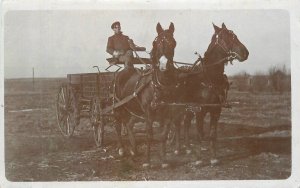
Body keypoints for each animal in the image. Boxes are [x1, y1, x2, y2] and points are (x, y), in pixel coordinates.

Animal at [112, 21, 178, 167]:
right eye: (156, 42)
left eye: (173, 42)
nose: (164, 65)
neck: (160, 85)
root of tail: (123, 71)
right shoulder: (148, 112)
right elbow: (149, 135)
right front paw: (147, 161)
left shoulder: (169, 111)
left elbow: (163, 135)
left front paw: (163, 160)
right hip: (118, 107)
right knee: (118, 127)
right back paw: (121, 149)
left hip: (134, 109)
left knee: (129, 125)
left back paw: (134, 150)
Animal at [175, 22, 250, 165]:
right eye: (225, 37)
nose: (245, 53)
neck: (209, 77)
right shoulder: (199, 111)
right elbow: (200, 134)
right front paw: (199, 159)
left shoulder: (216, 111)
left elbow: (212, 134)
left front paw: (214, 158)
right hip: (177, 109)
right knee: (176, 125)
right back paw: (177, 148)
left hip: (188, 109)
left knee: (186, 124)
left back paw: (187, 147)